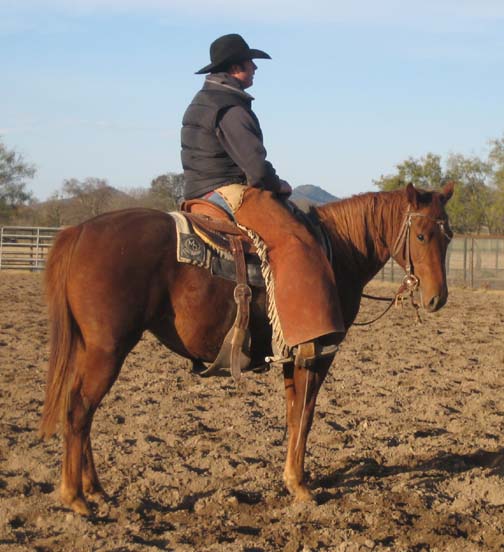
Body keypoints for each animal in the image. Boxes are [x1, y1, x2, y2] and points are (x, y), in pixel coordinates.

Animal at [41, 183, 454, 516]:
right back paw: (75, 497)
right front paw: (300, 485)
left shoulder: (292, 356)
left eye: (447, 236)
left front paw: (293, 477)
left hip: (92, 349)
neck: (337, 252)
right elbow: (305, 415)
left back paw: (95, 489)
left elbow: (293, 415)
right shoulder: (318, 354)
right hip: (108, 349)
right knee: (79, 410)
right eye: (421, 236)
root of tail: (80, 230)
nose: (437, 298)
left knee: (81, 410)